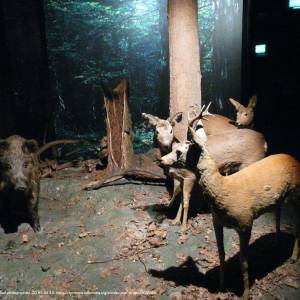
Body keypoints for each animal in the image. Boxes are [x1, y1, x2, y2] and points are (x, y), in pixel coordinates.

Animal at [190, 126, 300, 300]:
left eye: (184, 149)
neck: (223, 188)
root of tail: (294, 159)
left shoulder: (245, 222)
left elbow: (244, 262)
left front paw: (246, 294)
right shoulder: (217, 222)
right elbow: (221, 253)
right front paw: (221, 287)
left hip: (296, 191)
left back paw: (294, 257)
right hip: (280, 198)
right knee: (278, 211)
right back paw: (276, 242)